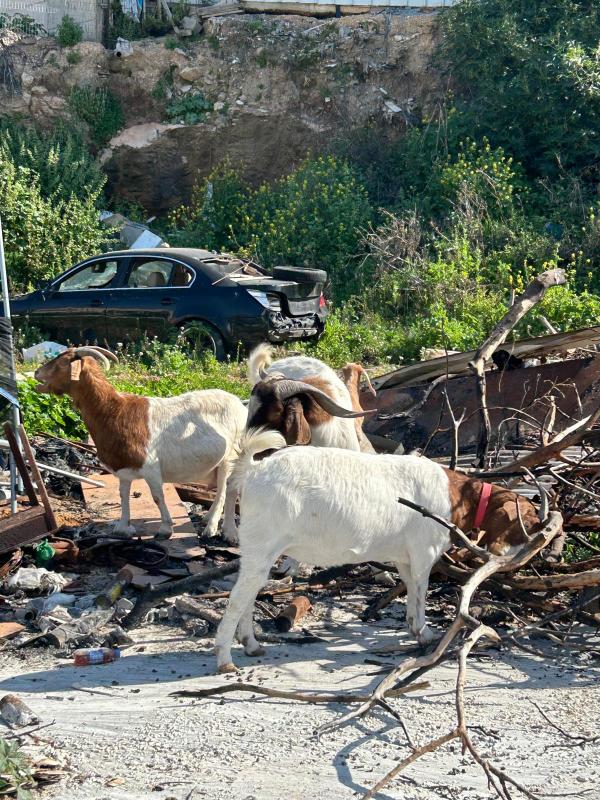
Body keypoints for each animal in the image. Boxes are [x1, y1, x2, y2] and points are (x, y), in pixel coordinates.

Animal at [34, 347, 247, 541]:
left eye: (62, 362)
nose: (36, 373)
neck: (114, 411)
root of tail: (239, 405)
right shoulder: (124, 470)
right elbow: (123, 495)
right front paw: (122, 527)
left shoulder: (151, 467)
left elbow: (157, 497)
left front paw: (165, 529)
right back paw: (209, 520)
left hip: (232, 457)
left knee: (227, 490)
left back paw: (216, 530)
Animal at [214, 429, 547, 672]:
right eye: (529, 519)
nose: (537, 553)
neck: (453, 495)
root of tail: (253, 469)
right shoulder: (424, 552)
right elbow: (422, 590)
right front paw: (425, 632)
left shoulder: (404, 558)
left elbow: (410, 588)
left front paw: (414, 629)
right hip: (263, 541)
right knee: (238, 597)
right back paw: (225, 659)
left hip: (259, 550)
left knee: (250, 593)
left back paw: (251, 645)